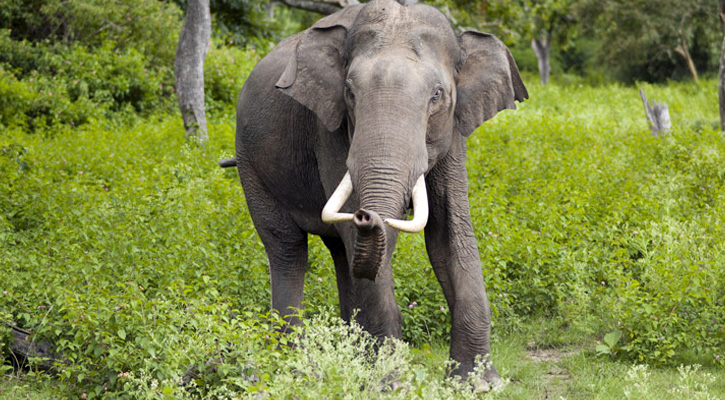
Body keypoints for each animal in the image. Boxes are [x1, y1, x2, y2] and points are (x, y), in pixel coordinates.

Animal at [225, 0, 528, 388]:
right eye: (350, 93)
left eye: (437, 95)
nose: (366, 214)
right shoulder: (330, 129)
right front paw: (390, 384)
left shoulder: (454, 131)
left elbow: (449, 233)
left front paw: (478, 383)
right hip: (251, 165)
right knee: (288, 249)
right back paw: (296, 367)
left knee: (341, 253)